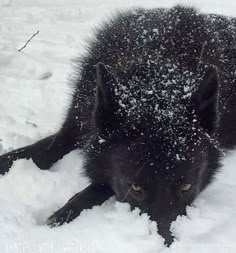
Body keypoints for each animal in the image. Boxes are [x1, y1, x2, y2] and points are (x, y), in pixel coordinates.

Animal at [0, 4, 236, 245]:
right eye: (135, 187)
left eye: (186, 187)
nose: (165, 242)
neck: (155, 60)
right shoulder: (74, 126)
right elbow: (35, 151)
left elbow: (96, 185)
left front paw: (60, 216)